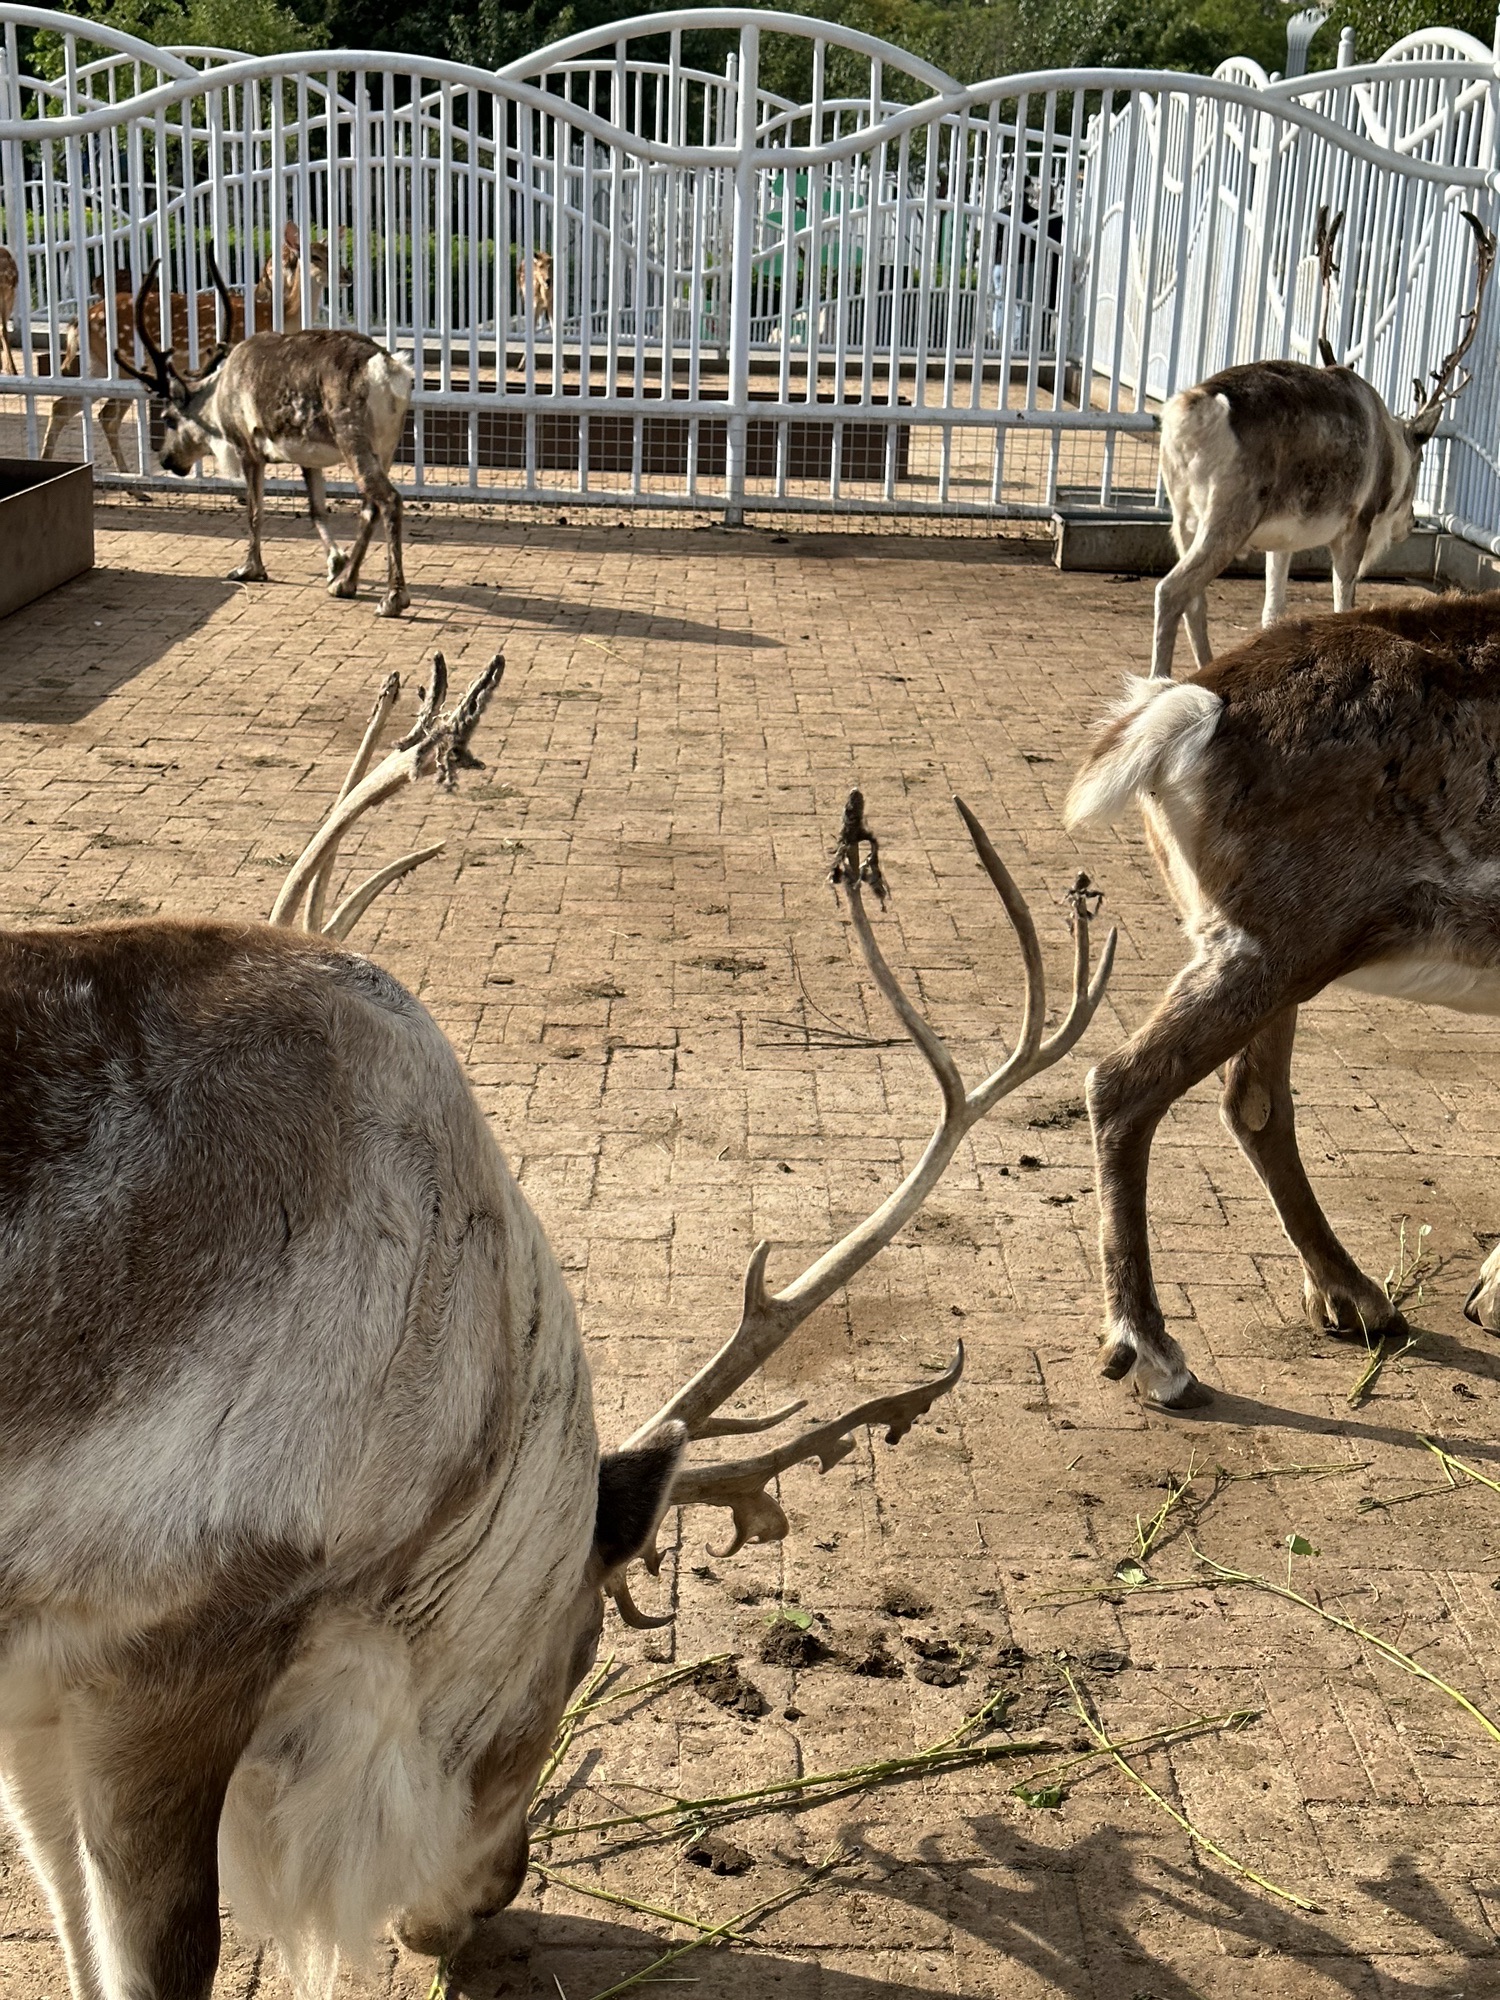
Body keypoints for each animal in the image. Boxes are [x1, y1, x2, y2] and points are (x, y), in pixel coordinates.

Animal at [39, 223, 331, 472]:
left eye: (331, 254)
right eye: (315, 257)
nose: (341, 275)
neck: (281, 315)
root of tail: (79, 320)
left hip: (99, 365)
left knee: (65, 406)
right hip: (121, 369)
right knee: (104, 415)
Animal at [113, 257, 414, 617]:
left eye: (168, 418)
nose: (166, 459)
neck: (218, 393)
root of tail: (389, 369)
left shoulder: (247, 449)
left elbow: (255, 511)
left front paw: (250, 568)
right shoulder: (309, 458)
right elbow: (316, 510)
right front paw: (335, 563)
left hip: (353, 440)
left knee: (389, 500)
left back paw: (393, 597)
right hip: (384, 448)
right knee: (370, 507)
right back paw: (345, 583)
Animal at [1066, 585, 1500, 1410]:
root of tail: (1189, 707)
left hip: (1266, 952)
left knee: (1253, 1103)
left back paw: (1351, 1298)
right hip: (1276, 945)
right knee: (1125, 1083)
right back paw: (1153, 1351)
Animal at [1149, 208, 1496, 679]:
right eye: (1421, 462)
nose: (1410, 524)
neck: (1392, 442)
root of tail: (1189, 410)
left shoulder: (1280, 541)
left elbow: (1272, 612)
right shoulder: (1356, 525)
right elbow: (1344, 605)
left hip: (1183, 514)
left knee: (1195, 599)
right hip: (1229, 515)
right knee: (1172, 590)